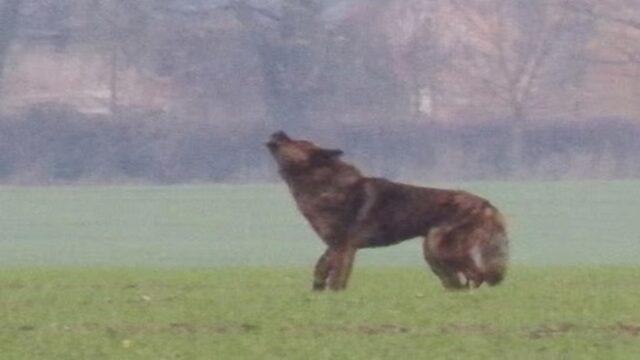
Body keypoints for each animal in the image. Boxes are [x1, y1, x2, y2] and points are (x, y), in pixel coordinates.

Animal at [266, 131, 510, 292]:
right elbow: (321, 267)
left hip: (437, 248)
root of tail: (487, 205)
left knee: (476, 274)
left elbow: (336, 278)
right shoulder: (334, 245)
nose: (278, 131)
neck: (321, 182)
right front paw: (317, 292)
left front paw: (335, 297)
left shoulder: (344, 246)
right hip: (435, 253)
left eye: (296, 142)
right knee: (462, 278)